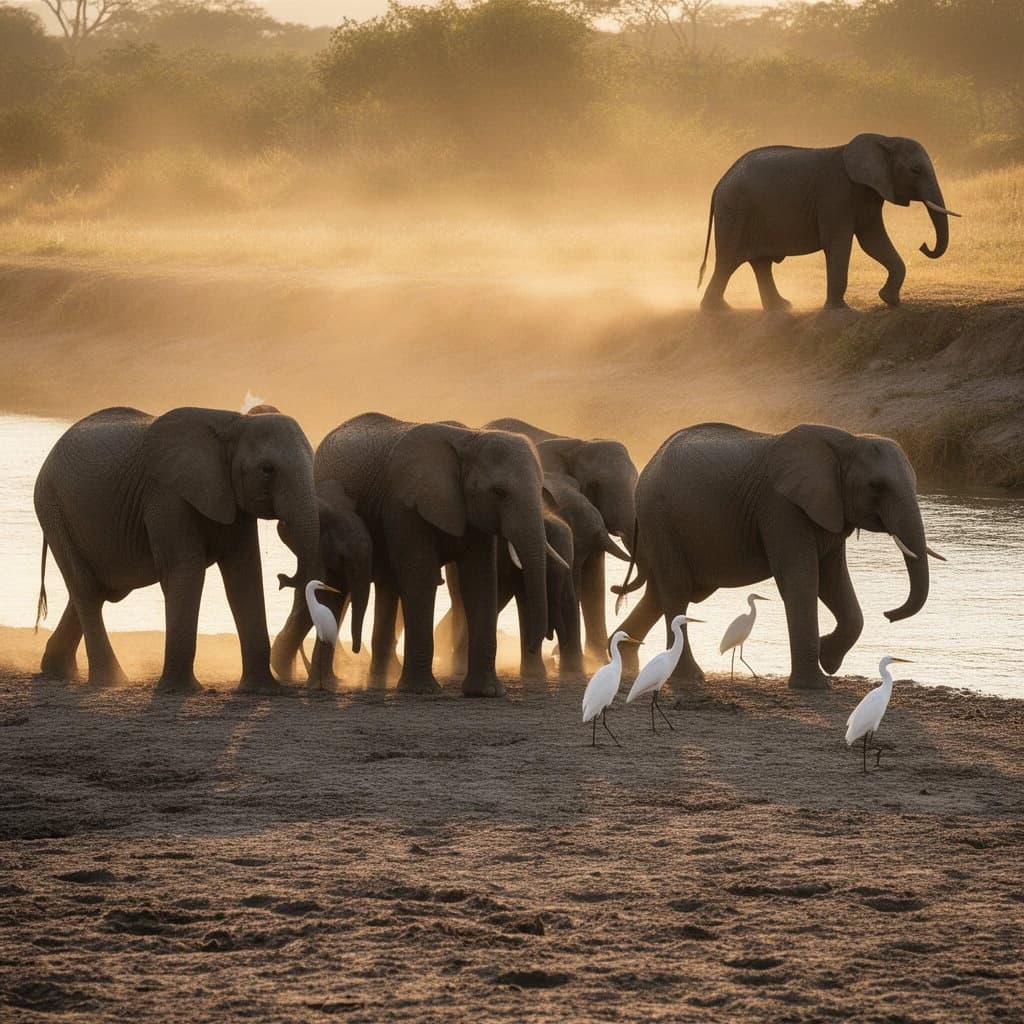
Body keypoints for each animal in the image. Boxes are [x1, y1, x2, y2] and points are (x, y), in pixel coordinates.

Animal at [34, 406, 320, 692]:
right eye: (267, 470)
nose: (282, 578)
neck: (233, 423)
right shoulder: (167, 497)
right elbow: (186, 572)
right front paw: (180, 690)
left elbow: (244, 574)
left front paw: (261, 690)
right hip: (52, 507)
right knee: (87, 590)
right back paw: (111, 681)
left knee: (102, 588)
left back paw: (57, 670)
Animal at [485, 418, 638, 664]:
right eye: (595, 484)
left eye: (636, 480)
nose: (617, 589)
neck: (579, 445)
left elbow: (594, 581)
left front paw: (597, 660)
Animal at [612, 423, 941, 690]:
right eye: (877, 486)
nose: (889, 615)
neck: (848, 441)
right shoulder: (781, 507)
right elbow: (802, 580)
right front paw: (814, 685)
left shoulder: (828, 511)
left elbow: (833, 583)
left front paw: (828, 658)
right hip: (660, 519)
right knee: (676, 590)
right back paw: (688, 676)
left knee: (659, 593)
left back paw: (622, 655)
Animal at [698, 133, 959, 311]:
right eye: (915, 170)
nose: (923, 245)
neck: (883, 139)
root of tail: (719, 183)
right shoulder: (836, 194)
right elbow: (840, 243)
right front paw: (840, 310)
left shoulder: (867, 195)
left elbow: (873, 242)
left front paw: (890, 301)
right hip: (734, 211)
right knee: (728, 262)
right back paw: (718, 310)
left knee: (760, 264)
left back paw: (781, 307)